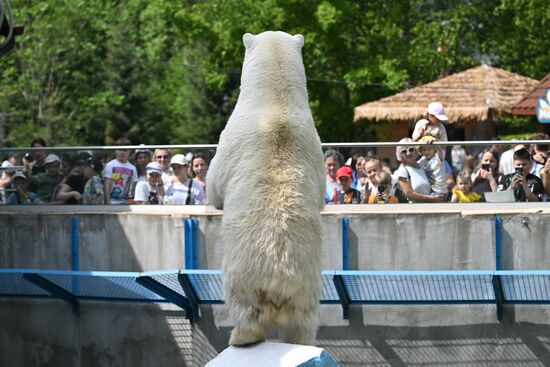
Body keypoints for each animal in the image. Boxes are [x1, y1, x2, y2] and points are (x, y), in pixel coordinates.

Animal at [207, 30, 328, 346]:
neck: (275, 103)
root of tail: (280, 279)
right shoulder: (316, 150)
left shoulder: (230, 137)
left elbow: (214, 179)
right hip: (307, 289)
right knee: (303, 324)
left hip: (244, 274)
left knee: (244, 307)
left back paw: (239, 337)